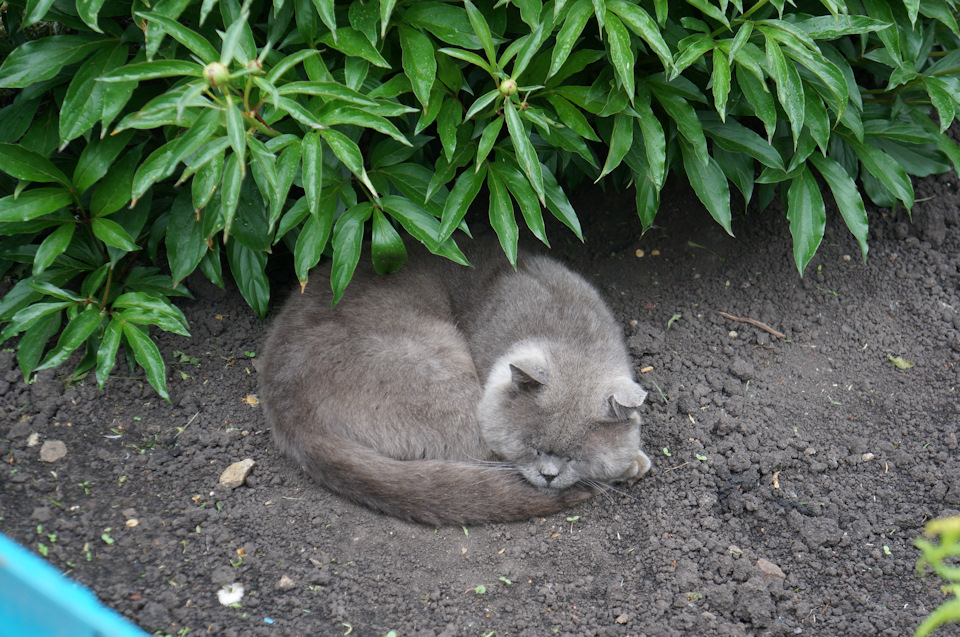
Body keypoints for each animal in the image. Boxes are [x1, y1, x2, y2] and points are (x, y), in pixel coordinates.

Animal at [258, 238, 652, 520]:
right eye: (532, 446)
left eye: (575, 456)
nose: (549, 475)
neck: (572, 333)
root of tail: (290, 415)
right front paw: (632, 463)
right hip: (441, 372)